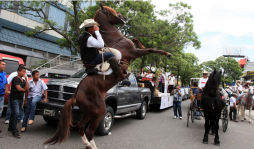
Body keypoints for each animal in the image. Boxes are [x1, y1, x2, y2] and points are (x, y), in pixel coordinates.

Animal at [44, 3, 172, 149]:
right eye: (110, 11)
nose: (124, 18)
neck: (116, 39)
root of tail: (76, 95)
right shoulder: (133, 52)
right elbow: (150, 49)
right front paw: (167, 53)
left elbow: (137, 40)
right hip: (99, 110)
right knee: (89, 130)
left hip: (89, 112)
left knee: (81, 126)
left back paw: (87, 144)